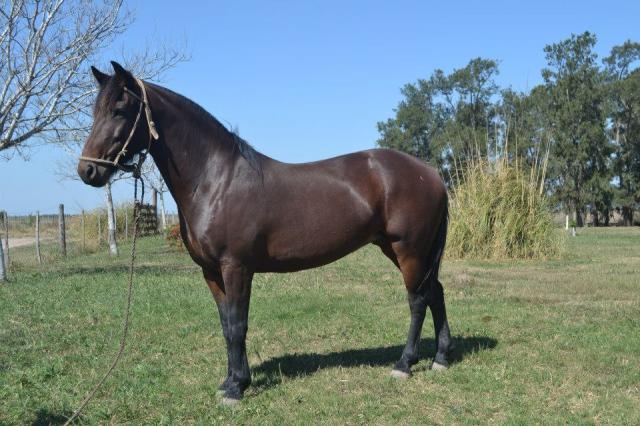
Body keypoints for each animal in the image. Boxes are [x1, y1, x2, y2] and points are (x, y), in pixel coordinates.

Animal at [78, 62, 453, 404]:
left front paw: (236, 389)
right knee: (435, 292)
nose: (88, 171)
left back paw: (404, 364)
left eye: (120, 110)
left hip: (409, 250)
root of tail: (431, 173)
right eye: (95, 111)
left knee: (418, 299)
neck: (215, 181)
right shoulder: (211, 272)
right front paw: (233, 380)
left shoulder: (236, 267)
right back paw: (441, 358)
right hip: (399, 249)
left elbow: (237, 325)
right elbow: (227, 325)